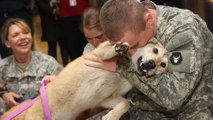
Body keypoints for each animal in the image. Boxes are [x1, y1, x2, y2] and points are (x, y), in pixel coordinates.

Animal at [1, 37, 168, 120]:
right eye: (155, 50)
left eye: (163, 65)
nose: (152, 64)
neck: (123, 72)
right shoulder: (96, 54)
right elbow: (108, 51)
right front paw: (118, 49)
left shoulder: (106, 98)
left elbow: (126, 103)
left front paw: (112, 116)